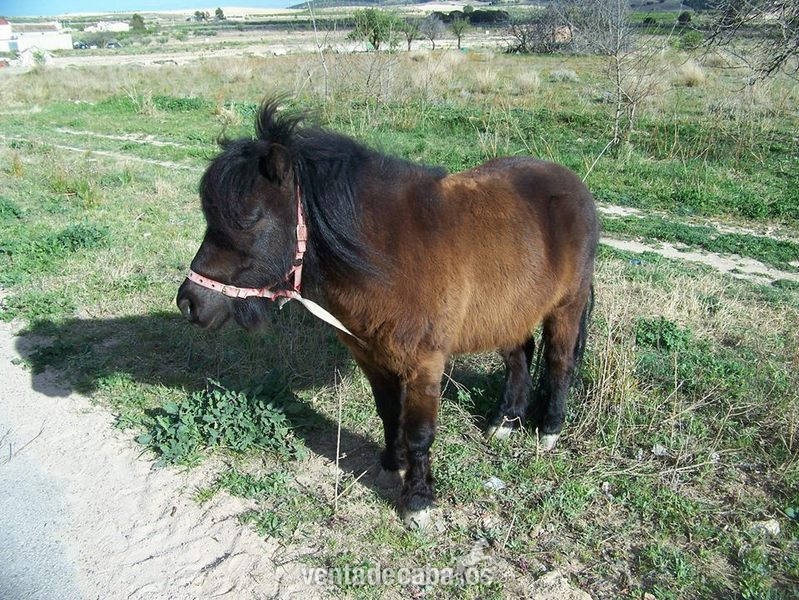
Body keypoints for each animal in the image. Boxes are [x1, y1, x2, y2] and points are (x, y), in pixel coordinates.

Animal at [176, 100, 599, 528]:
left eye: (249, 219)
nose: (189, 302)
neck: (390, 256)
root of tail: (574, 185)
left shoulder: (425, 364)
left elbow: (420, 432)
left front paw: (418, 500)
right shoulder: (371, 356)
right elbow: (388, 413)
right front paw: (390, 465)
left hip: (566, 307)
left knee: (560, 363)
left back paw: (549, 428)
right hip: (509, 311)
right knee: (520, 356)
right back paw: (505, 422)